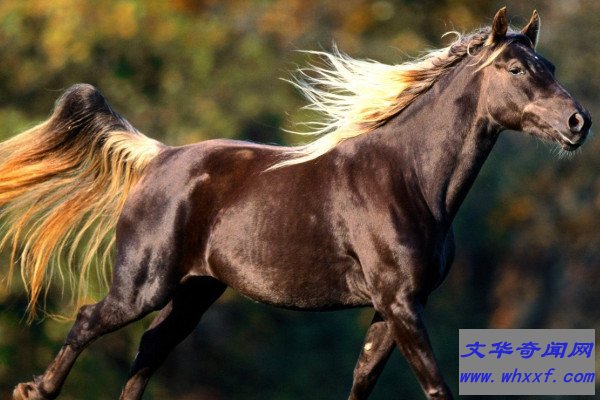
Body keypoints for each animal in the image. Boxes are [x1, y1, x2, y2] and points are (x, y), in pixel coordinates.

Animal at [3, 7, 591, 400]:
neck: (408, 179)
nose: (578, 122)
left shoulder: (393, 306)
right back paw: (34, 390)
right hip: (143, 286)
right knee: (89, 320)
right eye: (515, 69)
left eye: (550, 63)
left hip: (194, 291)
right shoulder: (400, 303)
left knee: (148, 352)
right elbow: (435, 388)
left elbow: (361, 383)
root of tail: (160, 157)